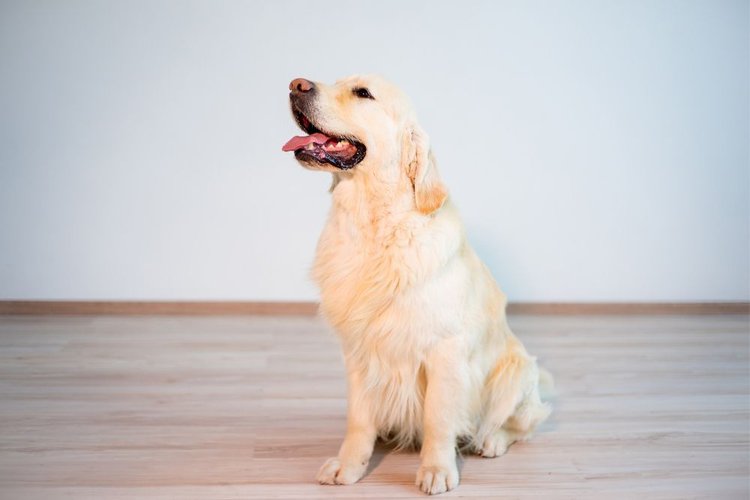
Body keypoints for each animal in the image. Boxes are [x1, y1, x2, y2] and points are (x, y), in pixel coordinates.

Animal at [282, 76, 552, 494]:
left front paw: (437, 470)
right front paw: (350, 465)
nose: (296, 84)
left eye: (362, 92)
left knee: (523, 423)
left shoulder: (444, 349)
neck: (375, 226)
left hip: (516, 372)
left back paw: (491, 440)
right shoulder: (358, 351)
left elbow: (438, 418)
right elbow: (358, 419)